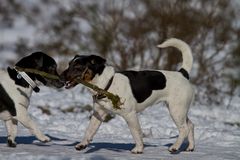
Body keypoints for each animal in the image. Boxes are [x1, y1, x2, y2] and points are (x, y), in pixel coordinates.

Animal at [60, 37, 195, 154]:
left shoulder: (130, 115)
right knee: (190, 125)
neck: (107, 83)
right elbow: (89, 131)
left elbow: (136, 133)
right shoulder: (99, 113)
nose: (60, 76)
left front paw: (139, 149)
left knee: (184, 129)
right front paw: (82, 144)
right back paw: (190, 147)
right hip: (180, 110)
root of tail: (182, 73)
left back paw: (174, 147)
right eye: (69, 64)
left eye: (78, 66)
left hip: (176, 110)